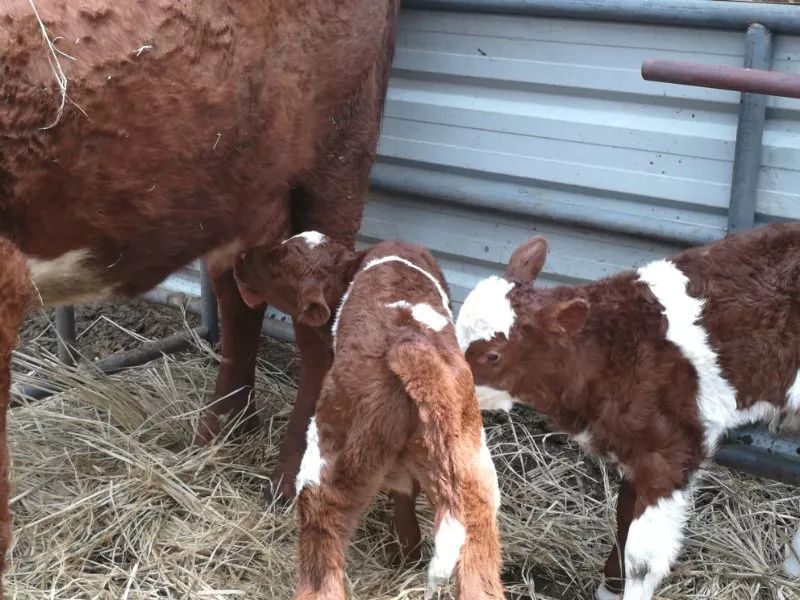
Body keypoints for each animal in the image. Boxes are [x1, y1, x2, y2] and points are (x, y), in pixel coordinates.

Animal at [0, 0, 400, 502]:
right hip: (245, 184)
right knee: (237, 293)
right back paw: (219, 433)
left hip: (339, 149)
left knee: (319, 328)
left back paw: (288, 482)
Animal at [234, 233, 504, 600]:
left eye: (278, 261)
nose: (241, 258)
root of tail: (410, 347)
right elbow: (404, 492)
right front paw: (403, 553)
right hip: (471, 480)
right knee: (479, 568)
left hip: (330, 460)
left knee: (323, 547)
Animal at [454, 224, 800, 600]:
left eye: (493, 355)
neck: (610, 351)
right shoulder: (634, 449)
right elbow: (622, 519)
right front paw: (609, 589)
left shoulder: (670, 454)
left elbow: (643, 558)